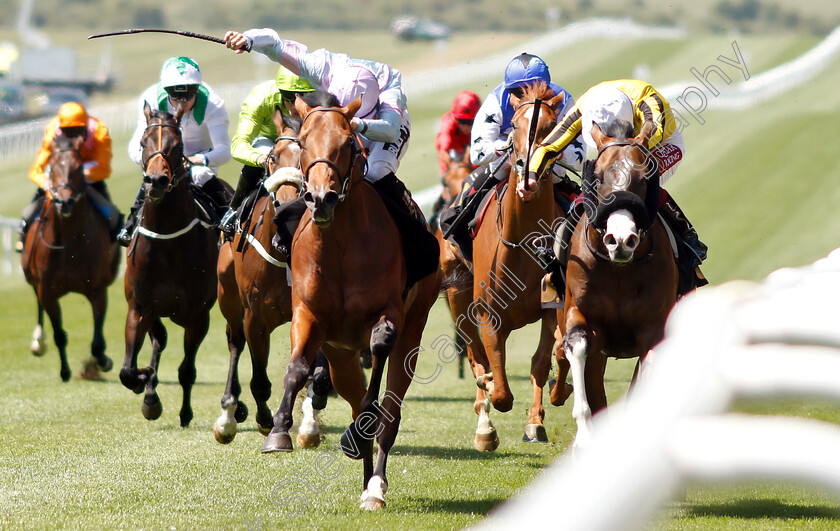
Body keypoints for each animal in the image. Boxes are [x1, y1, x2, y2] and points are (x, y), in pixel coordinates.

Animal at [120, 104, 228, 428]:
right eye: (143, 143)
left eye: (177, 145)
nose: (155, 180)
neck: (167, 241)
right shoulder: (139, 308)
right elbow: (128, 371)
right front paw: (145, 383)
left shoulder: (198, 316)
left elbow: (186, 370)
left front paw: (185, 413)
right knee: (159, 341)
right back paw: (150, 393)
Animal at [215, 106, 326, 446]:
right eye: (273, 157)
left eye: (305, 158)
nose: (288, 200)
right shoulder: (255, 318)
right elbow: (260, 380)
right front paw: (265, 420)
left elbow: (314, 373)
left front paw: (309, 425)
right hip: (229, 300)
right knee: (234, 343)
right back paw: (227, 415)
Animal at [440, 83, 572, 454]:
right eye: (514, 125)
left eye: (553, 127)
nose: (528, 171)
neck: (525, 242)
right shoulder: (487, 313)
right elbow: (497, 387)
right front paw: (487, 412)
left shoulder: (551, 308)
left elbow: (544, 361)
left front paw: (537, 419)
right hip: (458, 297)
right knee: (475, 356)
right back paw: (483, 424)